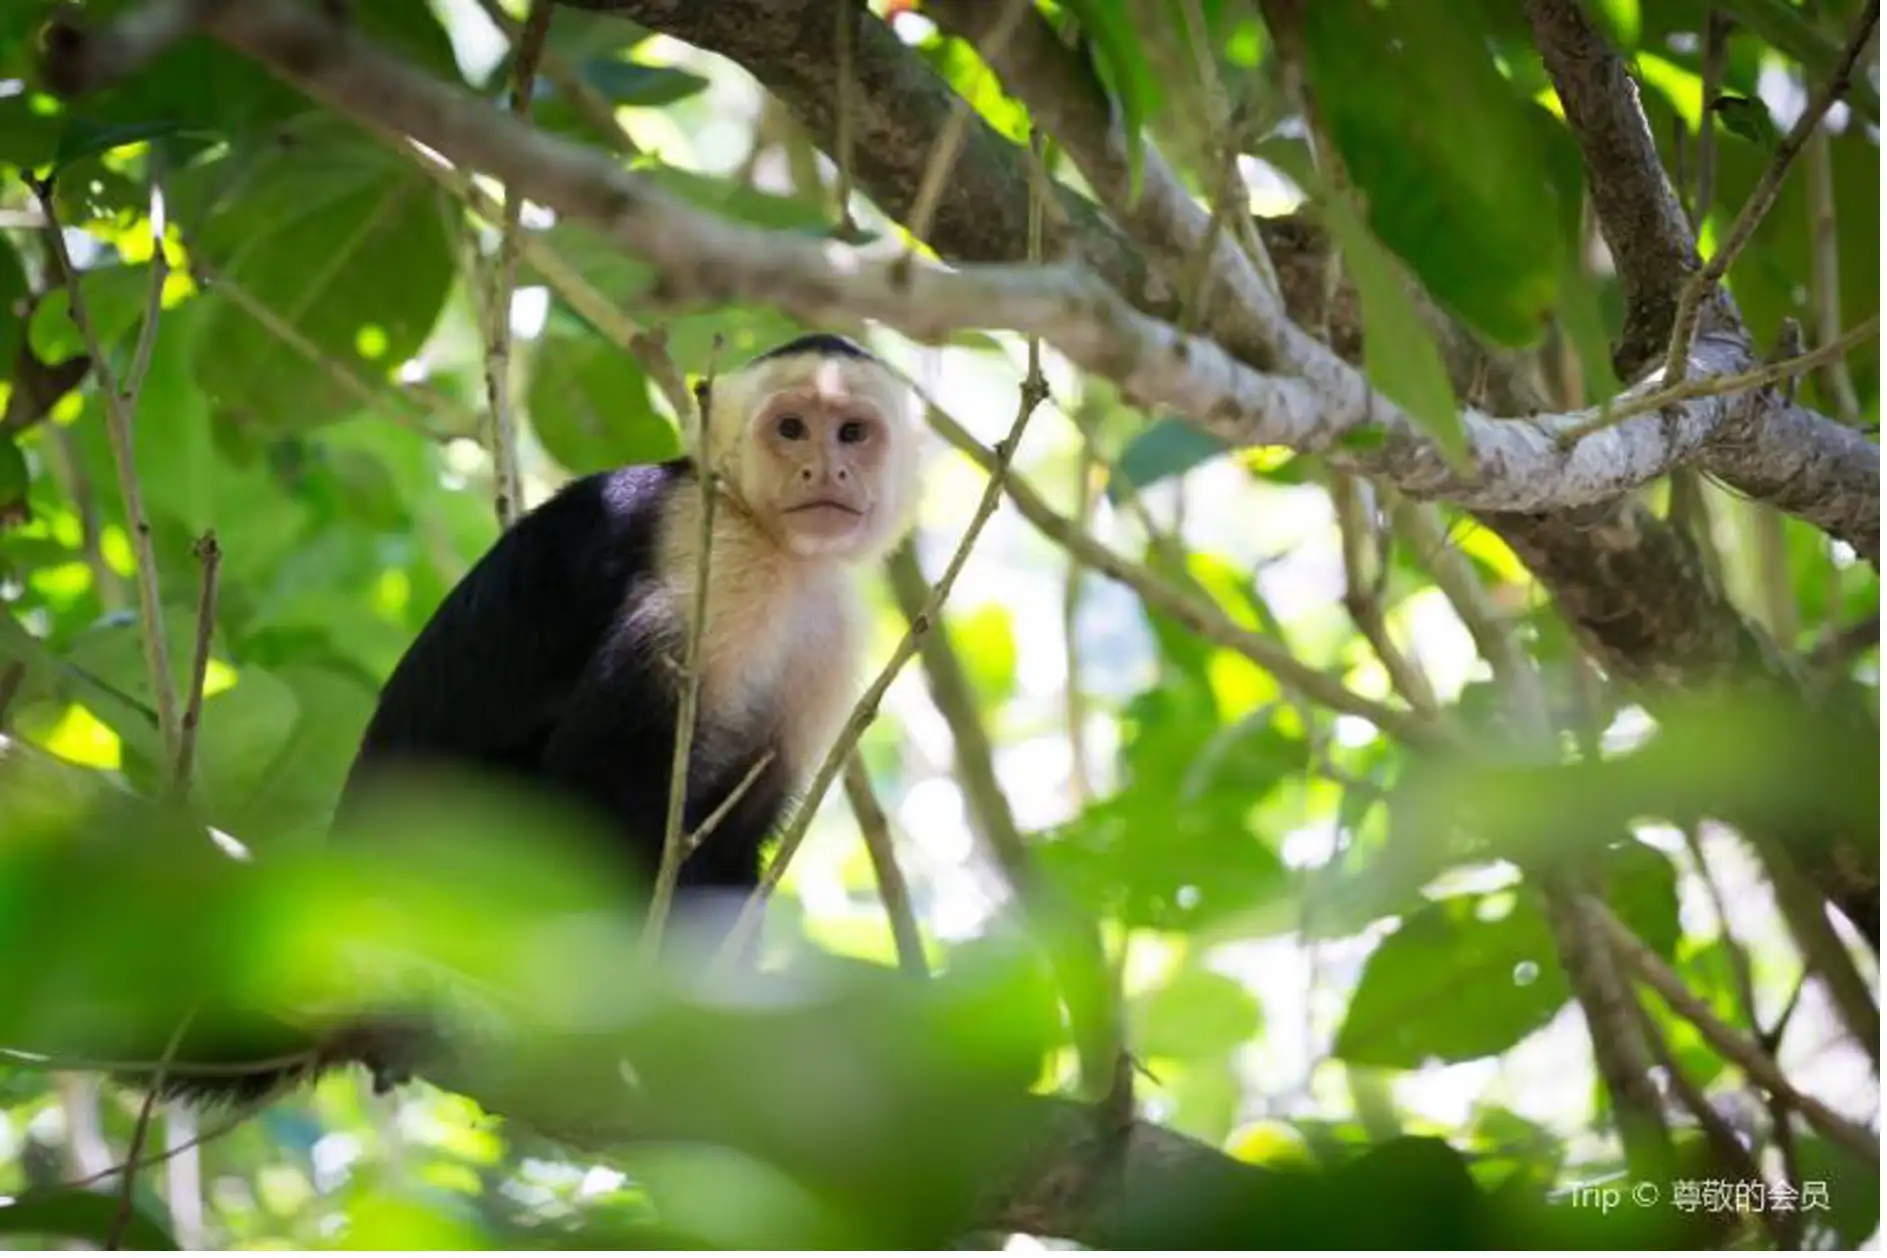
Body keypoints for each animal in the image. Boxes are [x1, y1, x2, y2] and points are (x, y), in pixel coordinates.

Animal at [145, 331, 920, 1101]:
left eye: (853, 432)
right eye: (790, 428)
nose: (825, 466)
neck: (766, 539)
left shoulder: (829, 634)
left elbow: (739, 830)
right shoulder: (715, 566)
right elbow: (597, 780)